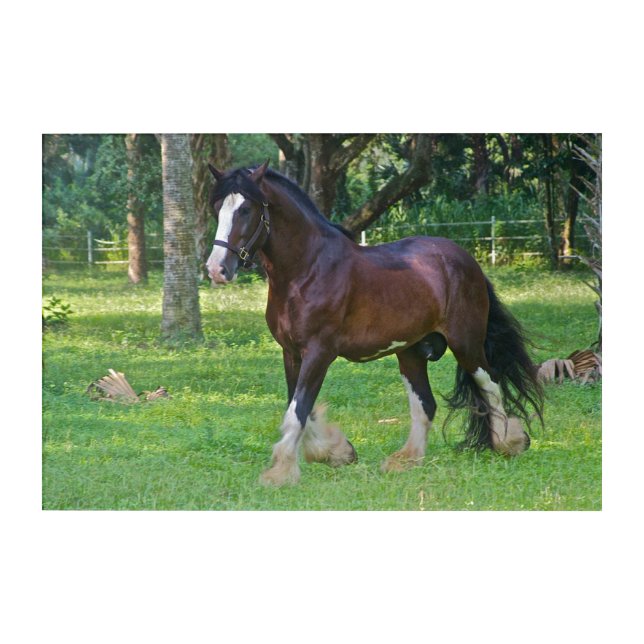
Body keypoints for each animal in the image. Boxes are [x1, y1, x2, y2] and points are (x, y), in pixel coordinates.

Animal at [205, 160, 544, 486]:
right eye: (217, 207)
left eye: (245, 209)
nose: (217, 269)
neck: (308, 270)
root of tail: (466, 259)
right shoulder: (291, 353)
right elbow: (300, 406)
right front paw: (336, 452)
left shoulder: (319, 353)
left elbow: (298, 410)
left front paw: (280, 473)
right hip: (411, 352)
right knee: (426, 404)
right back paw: (405, 460)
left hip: (466, 343)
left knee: (490, 385)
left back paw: (509, 442)